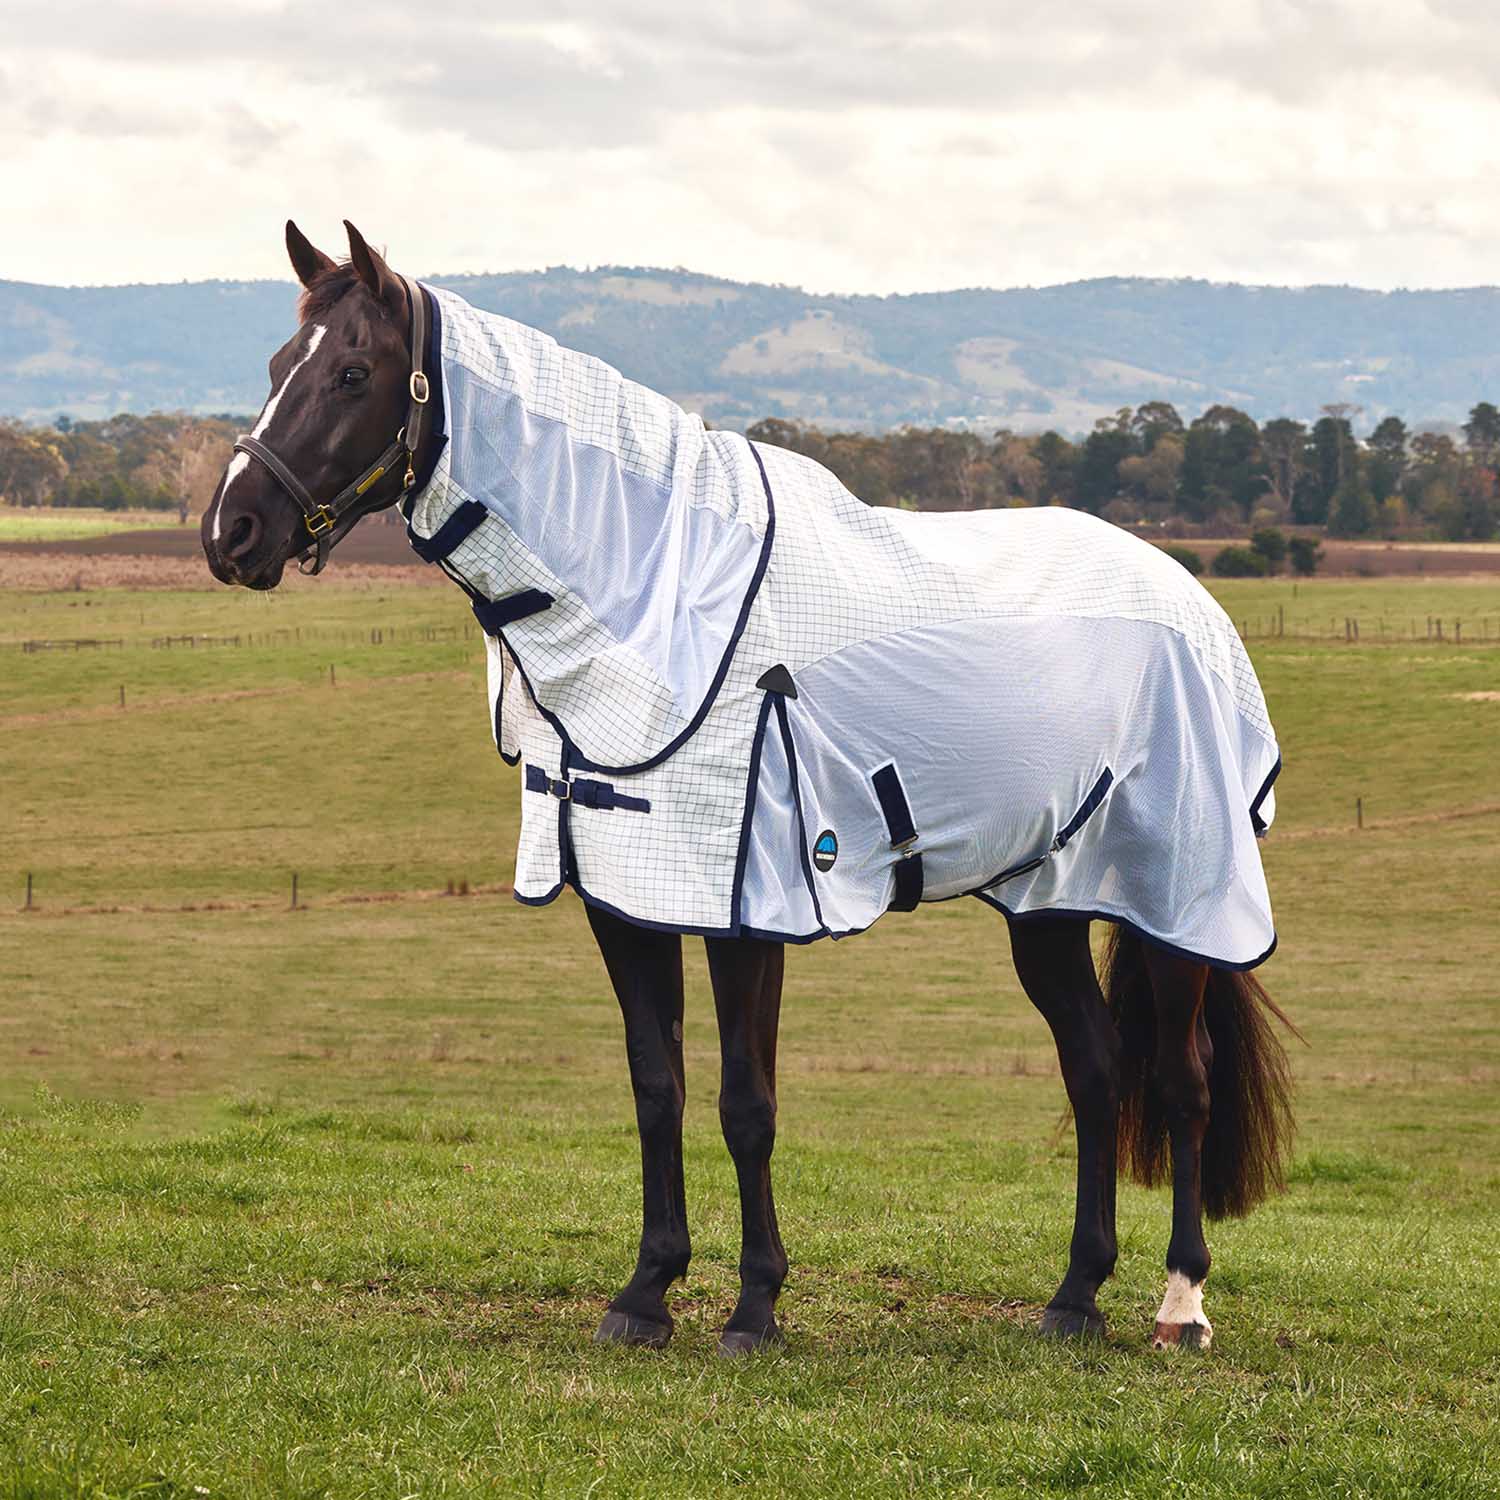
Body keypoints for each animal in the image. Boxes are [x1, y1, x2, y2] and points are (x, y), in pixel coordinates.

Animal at [202, 220, 1296, 1355]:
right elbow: (657, 1086)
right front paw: (645, 1293)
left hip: (1175, 894)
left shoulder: (748, 904)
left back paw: (1180, 1304)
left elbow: (746, 1102)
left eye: (353, 372)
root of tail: (1189, 594)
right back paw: (1074, 1297)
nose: (230, 534)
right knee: (1094, 1069)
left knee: (1180, 1082)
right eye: (279, 368)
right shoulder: (627, 892)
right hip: (1048, 897)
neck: (659, 586)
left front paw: (755, 1306)